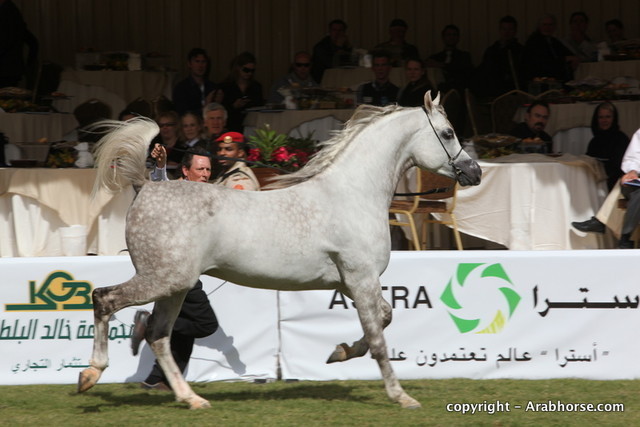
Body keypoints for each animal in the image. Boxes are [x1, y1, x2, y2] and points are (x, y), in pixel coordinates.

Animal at [78, 91, 481, 410]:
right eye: (448, 132)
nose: (474, 171)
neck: (353, 194)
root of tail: (147, 186)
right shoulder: (361, 278)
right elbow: (380, 340)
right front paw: (401, 397)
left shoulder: (352, 283)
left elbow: (383, 320)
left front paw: (338, 352)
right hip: (163, 279)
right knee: (106, 299)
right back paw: (91, 374)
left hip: (175, 286)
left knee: (159, 335)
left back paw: (192, 398)